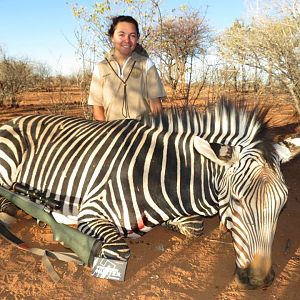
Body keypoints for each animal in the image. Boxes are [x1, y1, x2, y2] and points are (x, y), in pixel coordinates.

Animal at [0, 100, 296, 288]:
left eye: (282, 204)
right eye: (236, 201)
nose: (259, 280)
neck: (159, 171)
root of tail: (14, 119)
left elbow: (195, 227)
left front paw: (171, 224)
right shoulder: (93, 210)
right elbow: (118, 249)